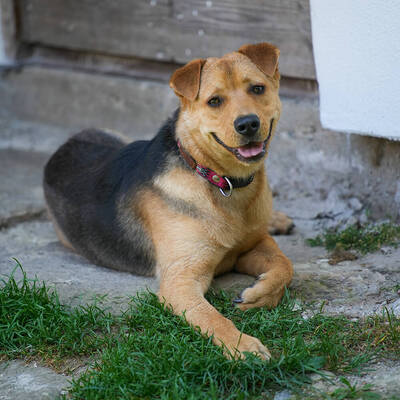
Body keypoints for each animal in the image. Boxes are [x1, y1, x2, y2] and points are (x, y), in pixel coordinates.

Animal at [43, 43, 294, 360]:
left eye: (258, 88)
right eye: (214, 101)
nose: (248, 124)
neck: (221, 181)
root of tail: (60, 149)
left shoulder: (252, 245)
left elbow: (285, 266)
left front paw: (260, 295)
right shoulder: (181, 280)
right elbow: (211, 317)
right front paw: (243, 346)